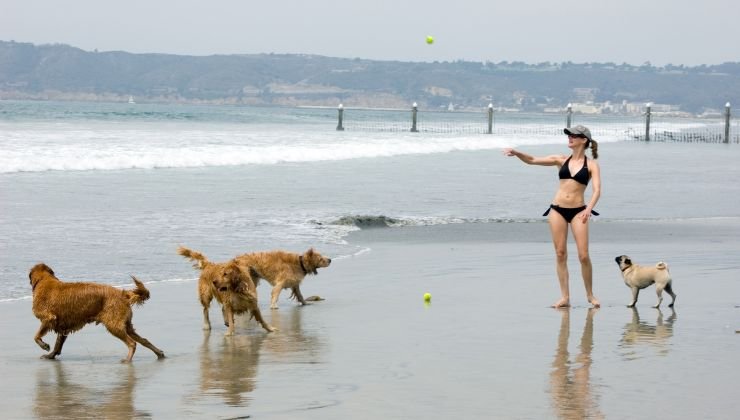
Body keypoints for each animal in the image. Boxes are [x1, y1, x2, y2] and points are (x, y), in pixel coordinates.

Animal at [29, 264, 165, 362]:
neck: (44, 279)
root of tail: (122, 294)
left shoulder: (48, 318)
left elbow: (36, 336)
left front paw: (44, 346)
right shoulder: (64, 326)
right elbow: (58, 344)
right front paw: (50, 355)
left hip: (113, 324)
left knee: (132, 343)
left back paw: (127, 360)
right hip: (126, 324)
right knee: (144, 340)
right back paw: (159, 353)